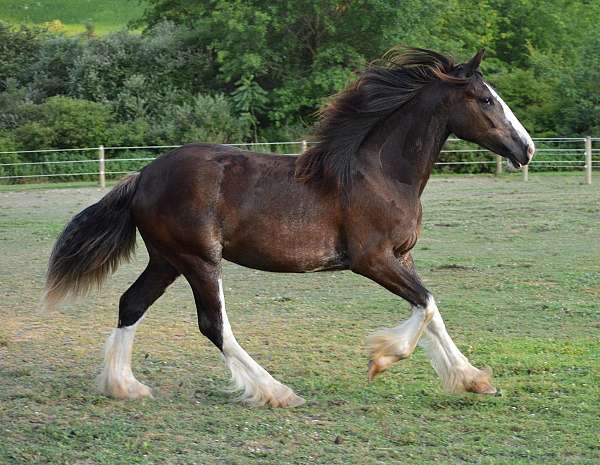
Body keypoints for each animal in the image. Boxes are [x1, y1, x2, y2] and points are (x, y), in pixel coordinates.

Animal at [44, 47, 536, 406]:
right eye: (486, 99)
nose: (526, 148)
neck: (380, 173)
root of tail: (143, 176)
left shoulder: (403, 256)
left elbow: (431, 311)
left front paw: (472, 380)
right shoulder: (372, 259)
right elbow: (428, 304)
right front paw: (381, 359)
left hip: (167, 259)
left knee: (131, 304)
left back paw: (123, 386)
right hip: (199, 259)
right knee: (213, 324)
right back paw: (276, 392)